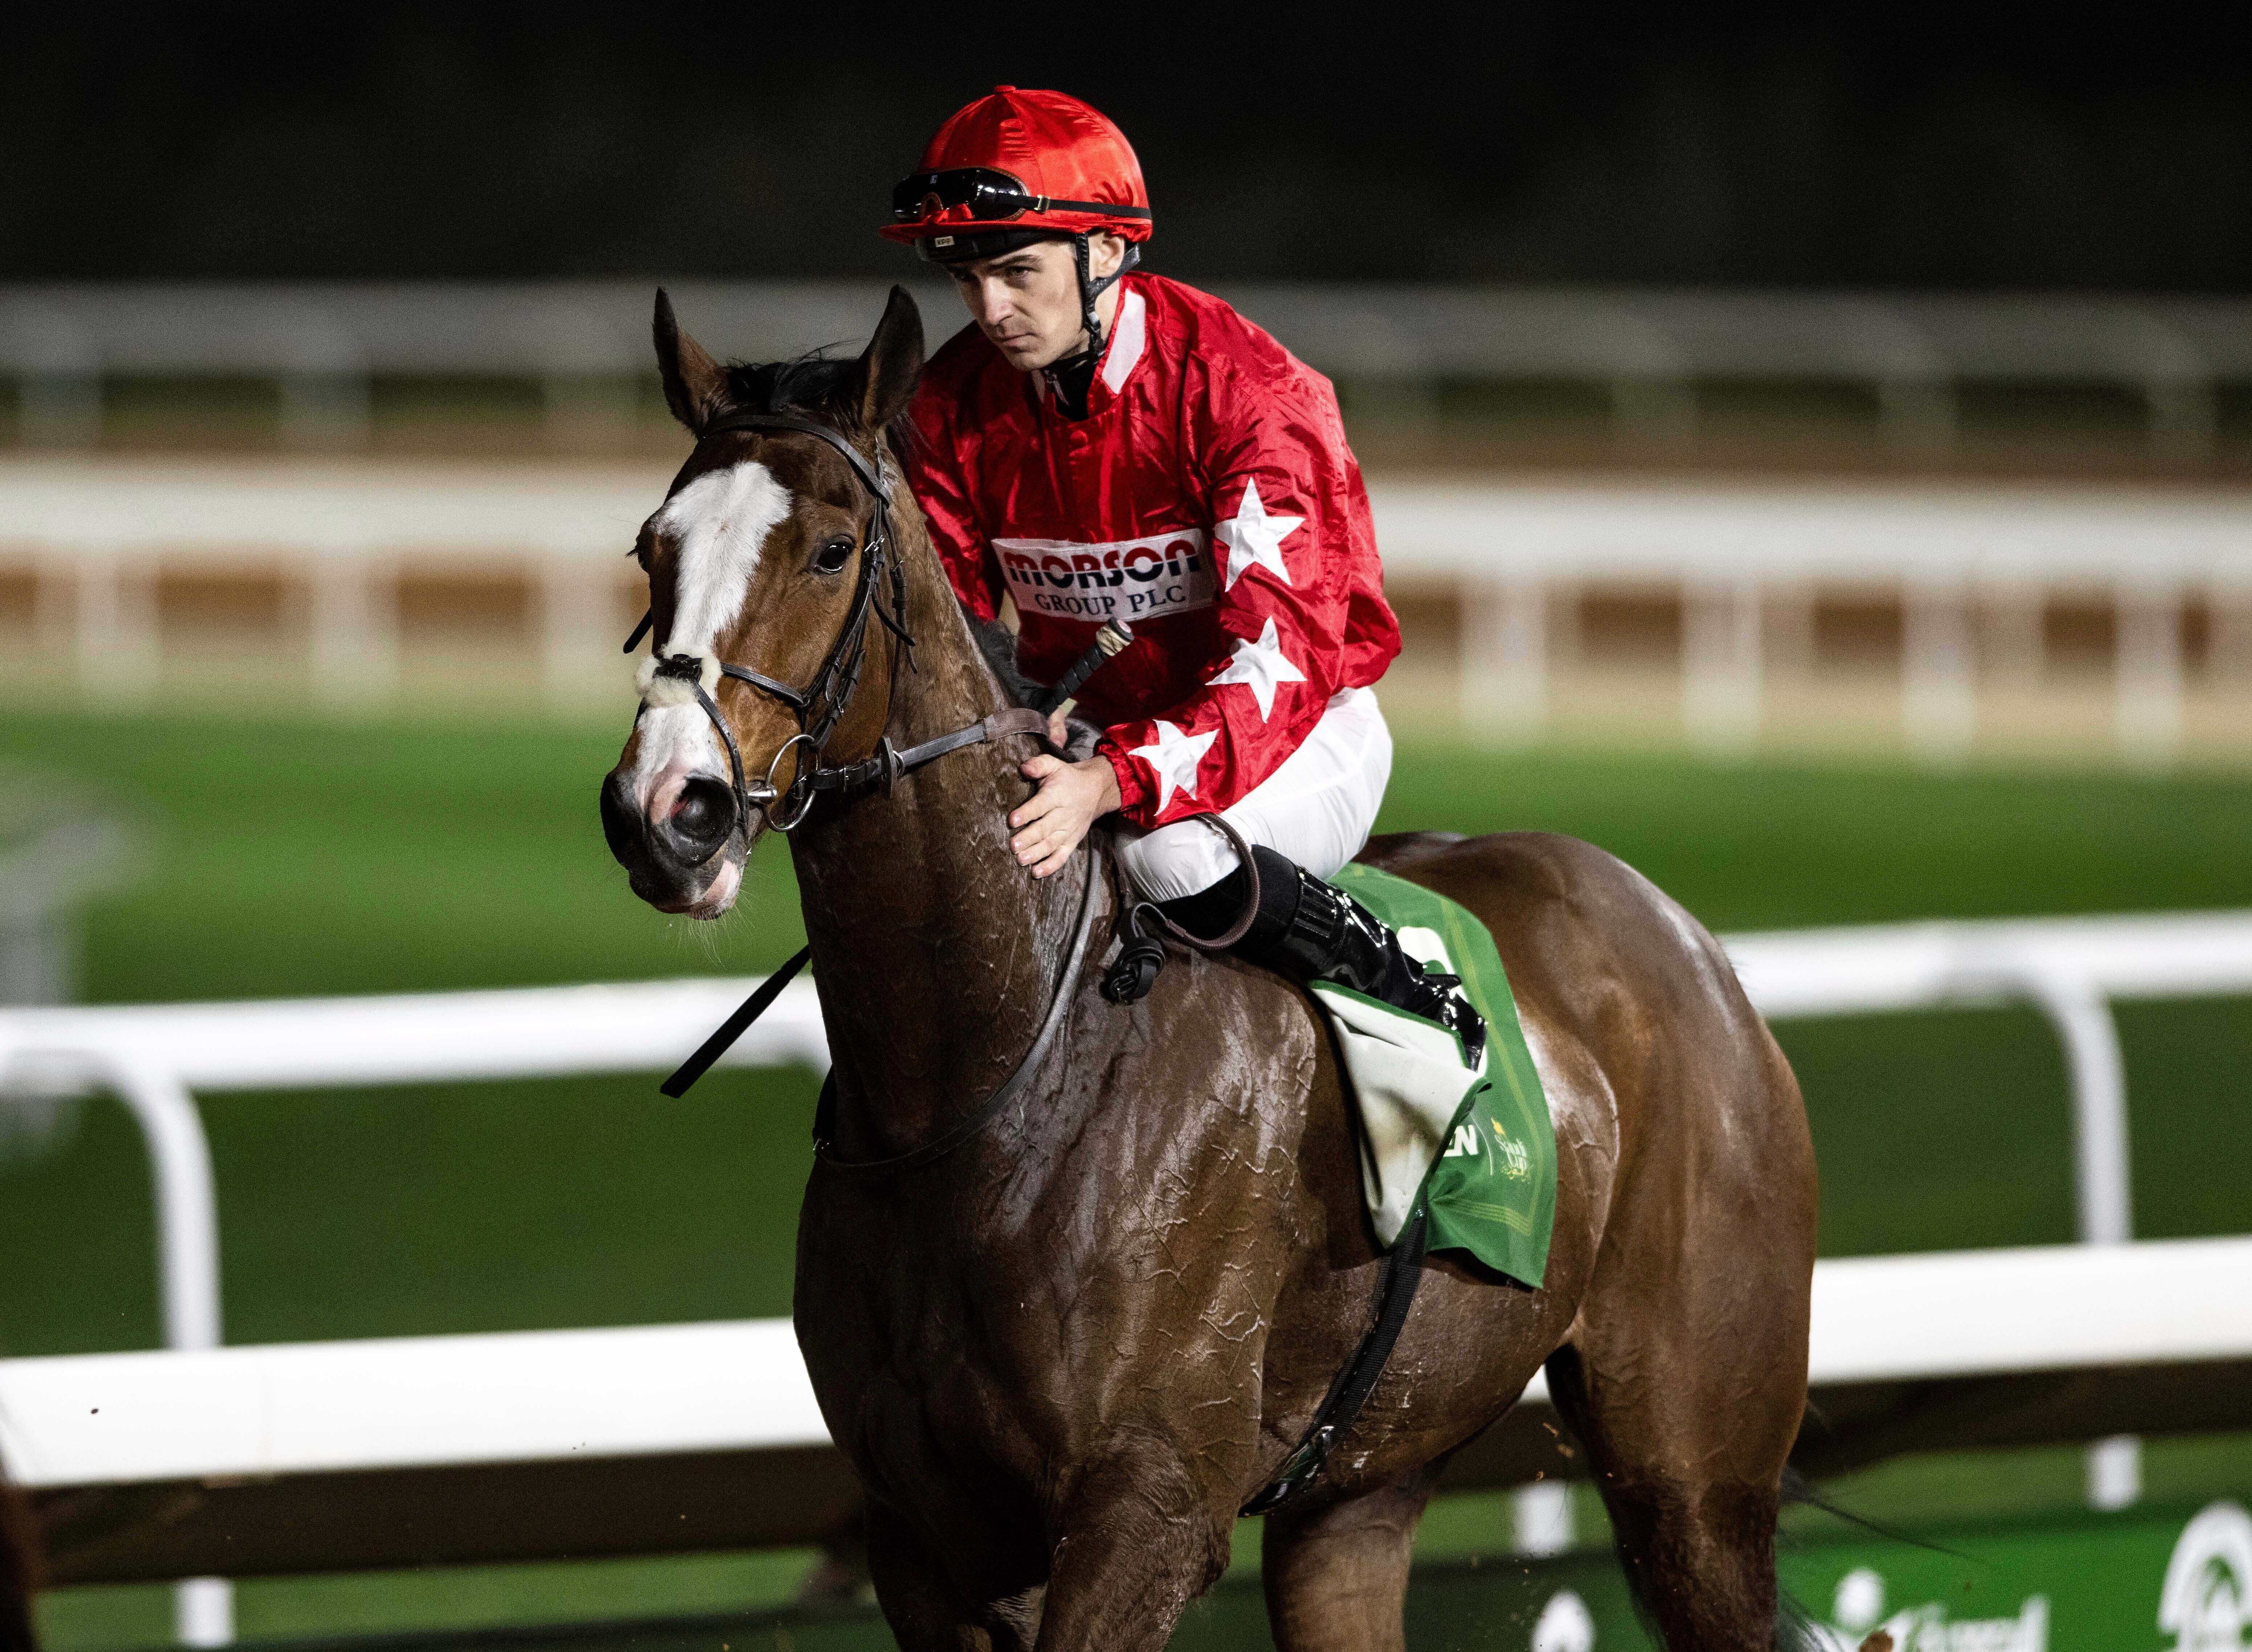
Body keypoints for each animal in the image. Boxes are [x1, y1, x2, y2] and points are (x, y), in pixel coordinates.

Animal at [608, 290, 1819, 1647]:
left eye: (827, 549)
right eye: (653, 547)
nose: (670, 810)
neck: (985, 1088)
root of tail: (1685, 944)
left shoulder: (1147, 1506)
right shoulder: (924, 1538)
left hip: (1695, 1476)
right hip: (1362, 1487)